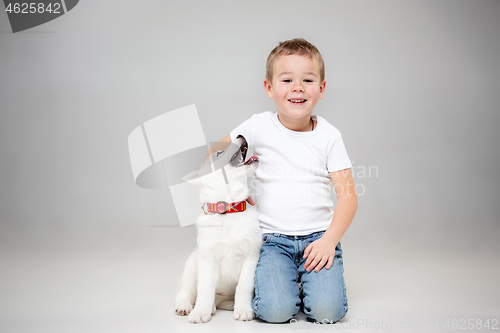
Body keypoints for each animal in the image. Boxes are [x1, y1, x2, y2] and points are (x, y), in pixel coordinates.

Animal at [175, 135, 262, 322]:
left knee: (221, 298)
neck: (228, 210)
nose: (240, 135)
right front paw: (200, 312)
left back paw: (222, 305)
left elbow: (243, 287)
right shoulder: (207, 259)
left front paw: (243, 309)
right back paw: (185, 306)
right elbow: (205, 289)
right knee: (186, 291)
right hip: (192, 266)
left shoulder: (251, 258)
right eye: (219, 153)